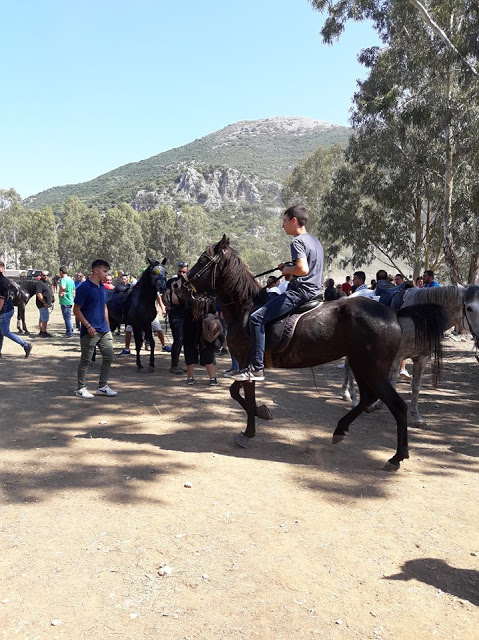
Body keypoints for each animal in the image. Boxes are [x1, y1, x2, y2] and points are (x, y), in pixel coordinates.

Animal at [180, 235, 446, 470]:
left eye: (203, 259)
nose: (182, 286)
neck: (246, 309)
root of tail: (393, 314)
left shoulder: (249, 364)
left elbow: (242, 395)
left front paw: (248, 433)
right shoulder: (246, 366)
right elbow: (236, 393)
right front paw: (263, 413)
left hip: (373, 369)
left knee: (398, 406)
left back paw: (396, 457)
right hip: (362, 365)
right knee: (367, 399)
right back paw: (340, 430)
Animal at [342, 288, 479, 428]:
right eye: (469, 308)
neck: (418, 319)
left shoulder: (421, 359)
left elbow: (416, 386)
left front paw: (417, 417)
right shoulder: (397, 357)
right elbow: (392, 383)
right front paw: (377, 405)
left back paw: (347, 394)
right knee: (349, 367)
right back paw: (353, 398)